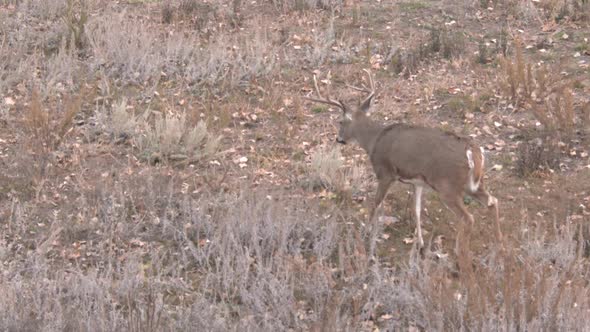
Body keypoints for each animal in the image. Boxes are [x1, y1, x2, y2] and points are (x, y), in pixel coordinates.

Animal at [306, 70, 504, 252]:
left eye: (340, 121)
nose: (338, 139)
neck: (374, 140)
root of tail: (473, 150)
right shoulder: (417, 182)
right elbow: (416, 210)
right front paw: (420, 243)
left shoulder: (385, 172)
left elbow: (376, 203)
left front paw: (367, 231)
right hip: (473, 183)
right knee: (493, 201)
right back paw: (498, 242)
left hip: (447, 185)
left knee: (468, 217)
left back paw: (459, 251)